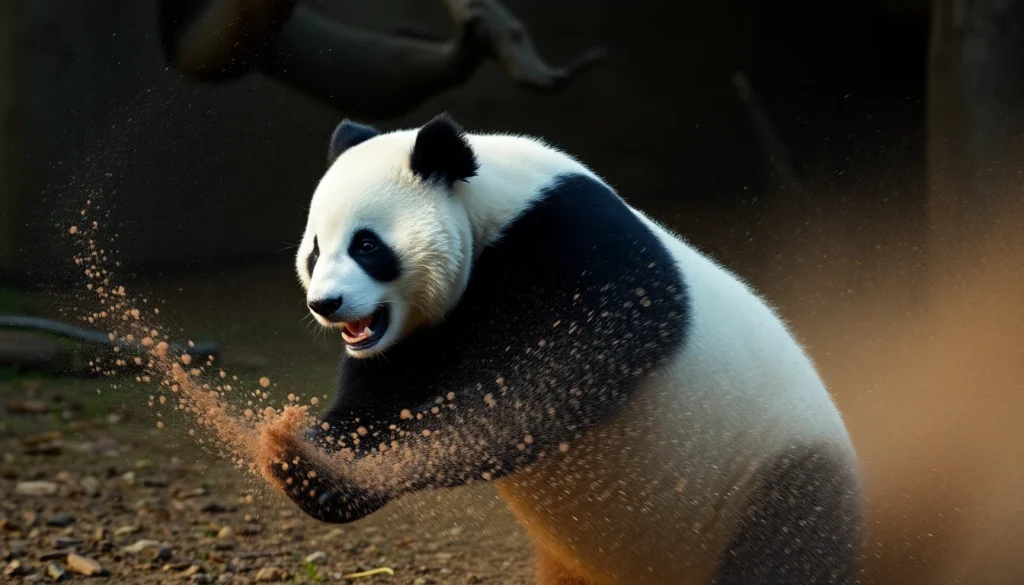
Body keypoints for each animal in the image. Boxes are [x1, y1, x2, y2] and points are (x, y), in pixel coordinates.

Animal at [267, 113, 864, 585]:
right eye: (315, 251)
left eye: (366, 245)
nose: (326, 303)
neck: (488, 212)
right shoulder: (423, 331)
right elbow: (383, 387)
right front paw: (307, 463)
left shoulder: (574, 245)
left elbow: (560, 380)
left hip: (774, 481)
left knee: (783, 551)